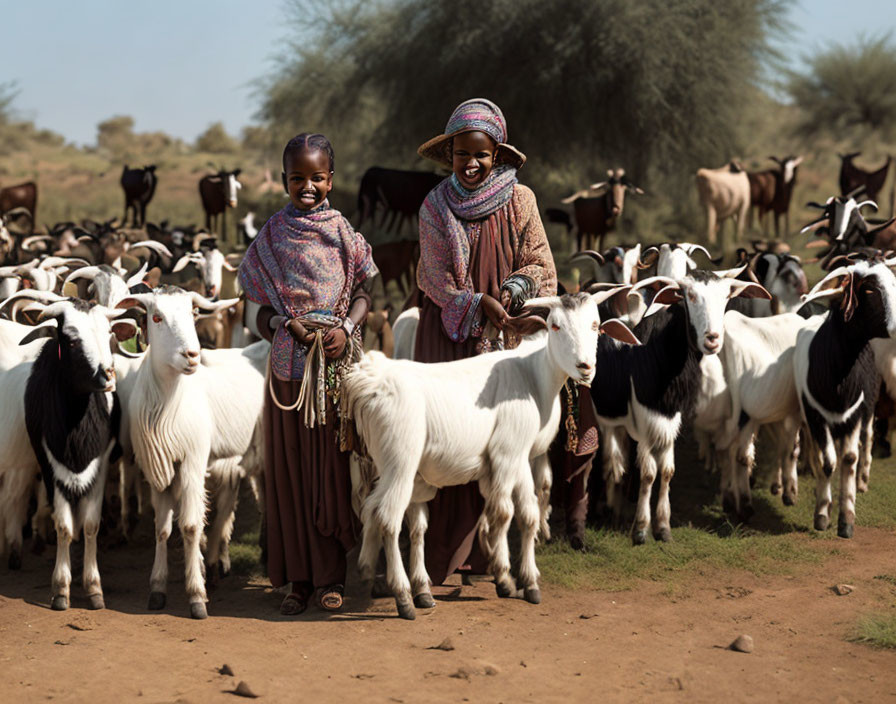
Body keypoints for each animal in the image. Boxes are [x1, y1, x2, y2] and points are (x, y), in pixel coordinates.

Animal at [796, 262, 896, 536]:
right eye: (870, 290)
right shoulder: (815, 415)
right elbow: (827, 461)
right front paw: (822, 514)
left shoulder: (856, 414)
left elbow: (850, 459)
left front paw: (846, 520)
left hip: (869, 408)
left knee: (866, 440)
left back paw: (862, 480)